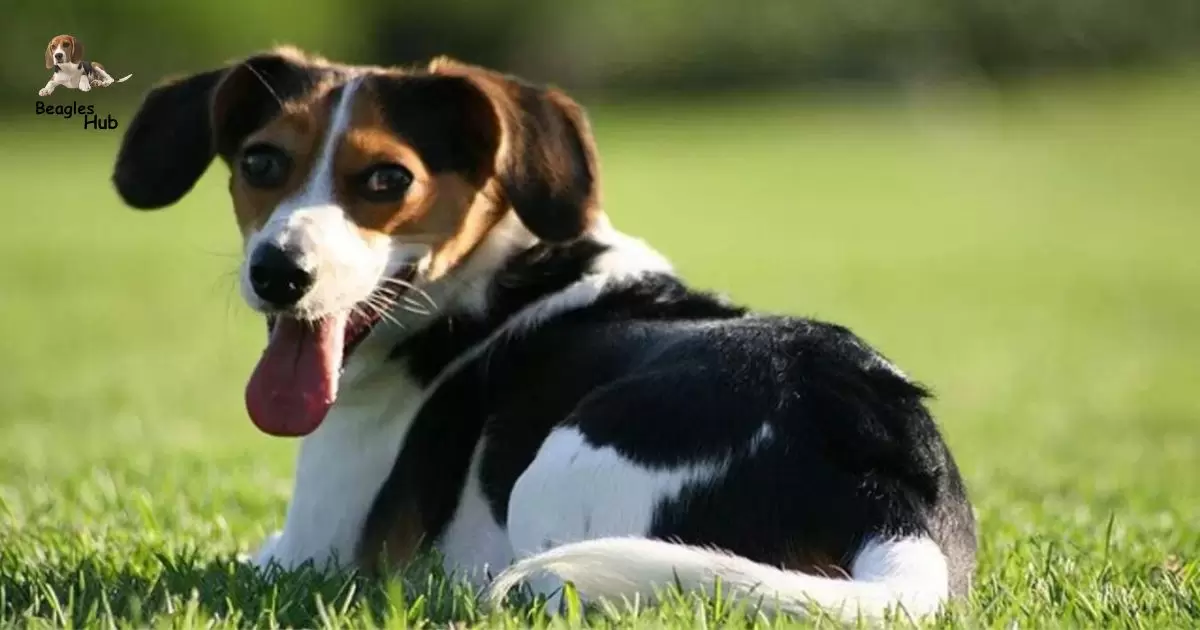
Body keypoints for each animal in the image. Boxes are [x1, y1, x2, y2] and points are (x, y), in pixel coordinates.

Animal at [110, 46, 974, 619]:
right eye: (260, 163)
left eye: (388, 179)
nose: (278, 273)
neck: (484, 282)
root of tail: (890, 476)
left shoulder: (310, 552)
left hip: (554, 480)